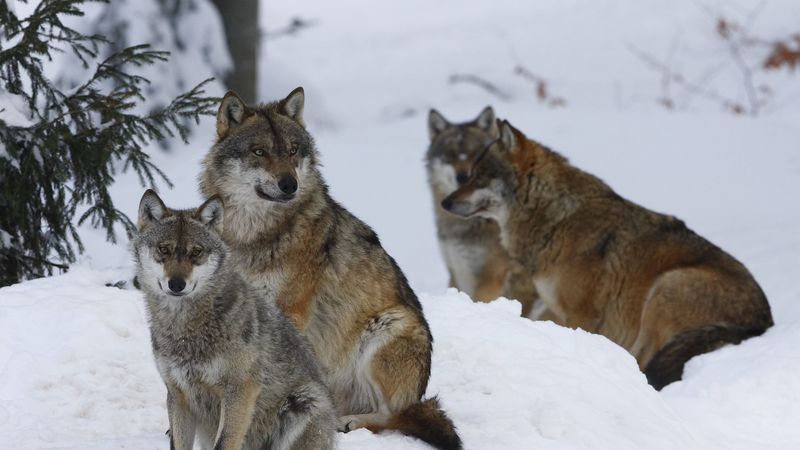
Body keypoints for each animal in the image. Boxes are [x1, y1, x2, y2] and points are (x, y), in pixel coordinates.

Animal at [132, 190, 336, 450]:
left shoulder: (240, 391)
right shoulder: (178, 395)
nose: (176, 284)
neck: (185, 327)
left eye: (196, 252)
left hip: (304, 402)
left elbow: (224, 443)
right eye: (164, 249)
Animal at [199, 88, 462, 449]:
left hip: (388, 327)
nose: (289, 184)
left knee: (395, 416)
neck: (253, 234)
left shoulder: (290, 310)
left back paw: (348, 422)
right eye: (259, 152)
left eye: (292, 151)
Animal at [442, 120, 774, 390]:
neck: (557, 217)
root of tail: (762, 322)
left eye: (480, 176)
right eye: (470, 175)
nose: (445, 202)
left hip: (665, 289)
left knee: (644, 362)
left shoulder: (583, 314)